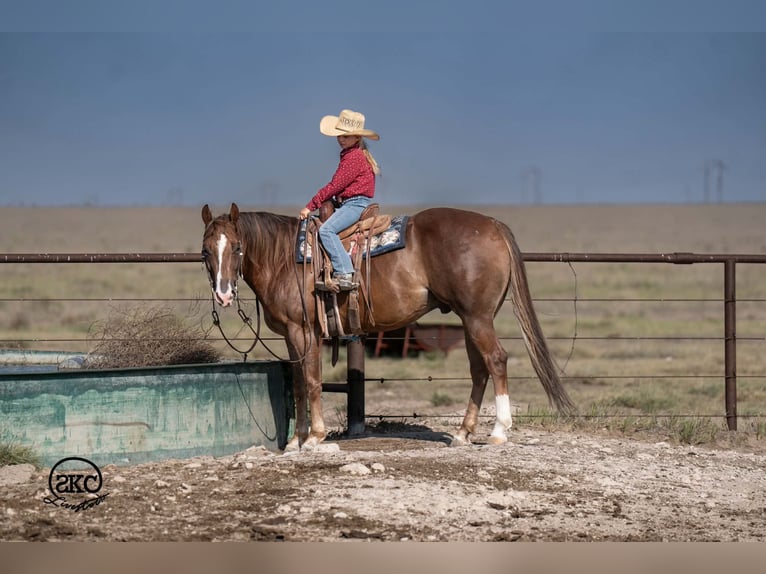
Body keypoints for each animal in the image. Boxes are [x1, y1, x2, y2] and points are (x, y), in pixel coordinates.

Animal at [201, 203, 575, 450]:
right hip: (472, 319)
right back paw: (462, 433)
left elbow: (312, 381)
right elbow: (297, 383)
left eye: (237, 247)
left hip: (478, 317)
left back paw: (498, 432)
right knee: (479, 369)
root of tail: (493, 224)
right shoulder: (293, 336)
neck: (283, 258)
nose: (223, 294)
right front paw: (295, 440)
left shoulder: (305, 332)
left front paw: (315, 437)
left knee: (496, 360)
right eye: (205, 251)